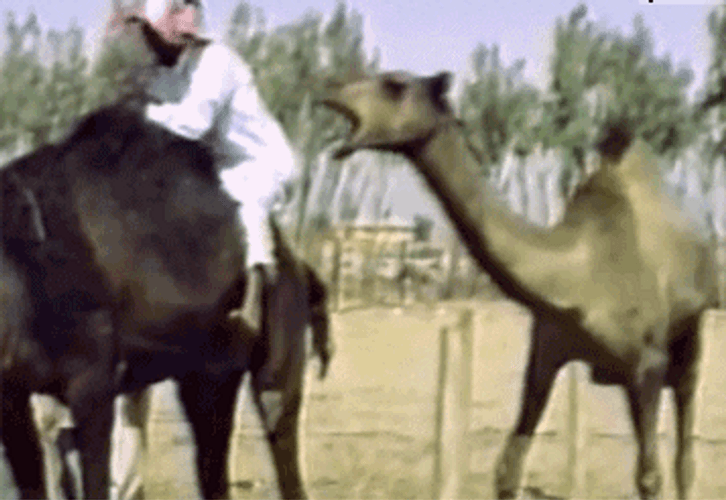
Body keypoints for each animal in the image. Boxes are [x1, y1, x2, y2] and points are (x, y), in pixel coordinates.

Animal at [320, 70, 716, 500]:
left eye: (395, 85)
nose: (331, 89)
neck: (577, 277)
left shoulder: (646, 366)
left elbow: (649, 478)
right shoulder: (545, 354)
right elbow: (508, 469)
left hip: (690, 337)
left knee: (685, 450)